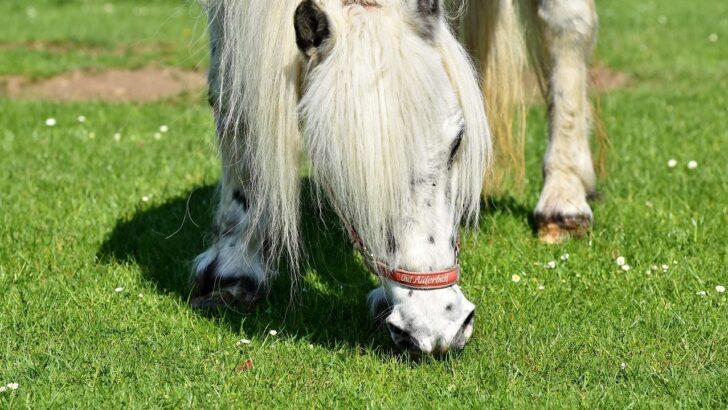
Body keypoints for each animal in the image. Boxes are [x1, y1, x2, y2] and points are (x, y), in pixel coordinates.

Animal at [192, 0, 599, 355]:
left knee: (567, 26)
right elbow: (232, 98)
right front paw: (234, 264)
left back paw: (564, 200)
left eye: (457, 142)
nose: (440, 329)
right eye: (338, 167)